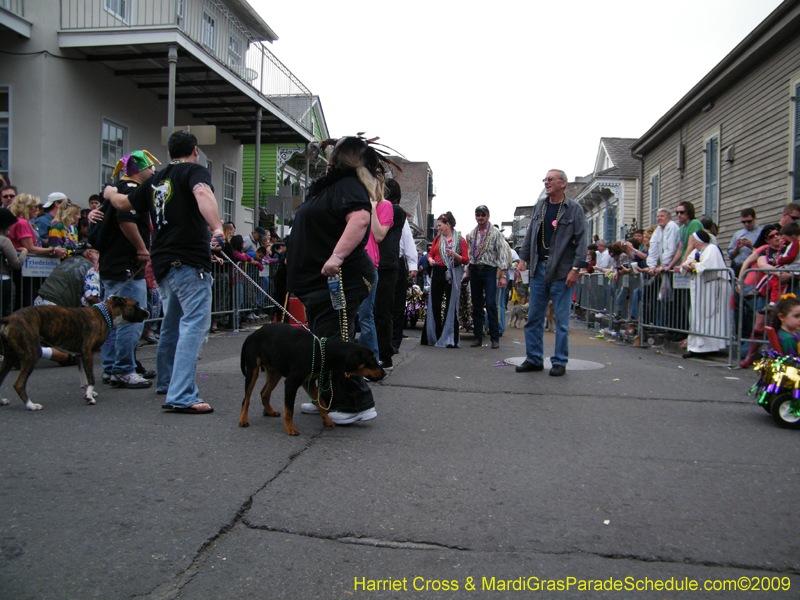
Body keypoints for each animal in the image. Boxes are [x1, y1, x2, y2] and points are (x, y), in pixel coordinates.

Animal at [0, 296, 149, 410]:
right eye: (136, 304)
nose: (147, 311)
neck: (106, 314)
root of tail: (9, 318)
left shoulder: (80, 355)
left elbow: (83, 377)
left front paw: (89, 392)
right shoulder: (87, 351)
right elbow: (91, 377)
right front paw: (89, 397)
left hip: (10, 357)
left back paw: (2, 401)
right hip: (32, 354)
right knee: (19, 384)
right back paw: (31, 405)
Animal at [239, 324, 386, 436]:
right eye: (370, 361)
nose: (384, 373)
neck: (323, 352)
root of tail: (252, 335)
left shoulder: (308, 382)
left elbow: (321, 403)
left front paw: (327, 420)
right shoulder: (292, 383)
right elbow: (289, 410)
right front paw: (290, 429)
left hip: (274, 372)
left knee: (264, 393)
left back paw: (269, 411)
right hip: (253, 370)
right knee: (246, 398)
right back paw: (243, 420)